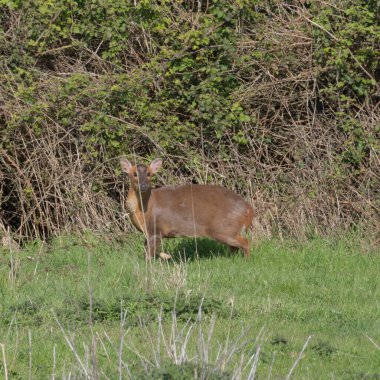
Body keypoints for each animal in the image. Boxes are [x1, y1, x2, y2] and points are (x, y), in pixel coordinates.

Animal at [120, 157, 254, 258]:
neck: (142, 209)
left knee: (245, 243)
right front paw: (166, 256)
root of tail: (248, 208)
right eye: (134, 174)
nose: (143, 186)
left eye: (149, 174)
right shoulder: (148, 233)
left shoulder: (155, 229)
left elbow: (149, 255)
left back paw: (246, 261)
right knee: (235, 247)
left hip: (224, 228)